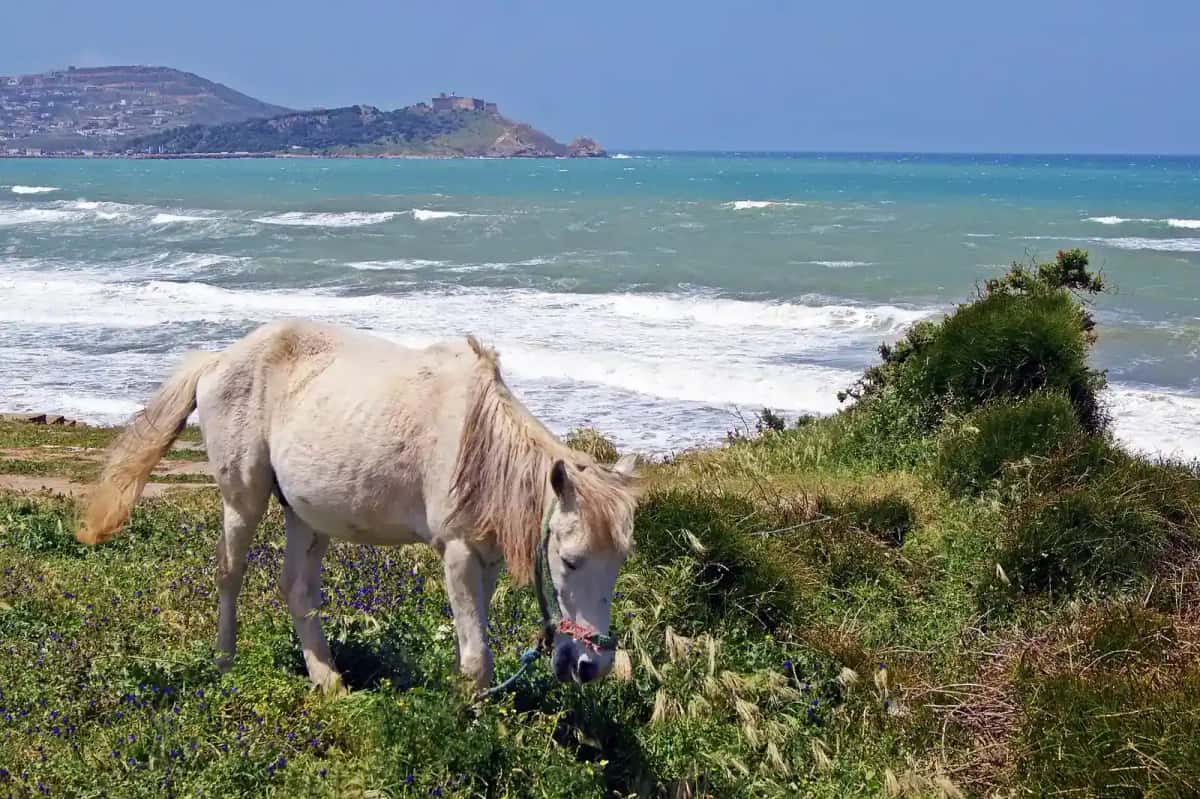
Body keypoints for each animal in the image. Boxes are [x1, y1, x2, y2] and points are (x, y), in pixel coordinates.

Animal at [76, 319, 639, 693]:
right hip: (244, 499)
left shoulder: (487, 559)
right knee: (229, 573)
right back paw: (225, 662)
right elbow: (476, 657)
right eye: (570, 561)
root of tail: (218, 360)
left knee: (297, 590)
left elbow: (478, 645)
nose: (590, 666)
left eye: (618, 563)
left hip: (305, 515)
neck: (479, 441)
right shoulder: (457, 553)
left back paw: (328, 681)